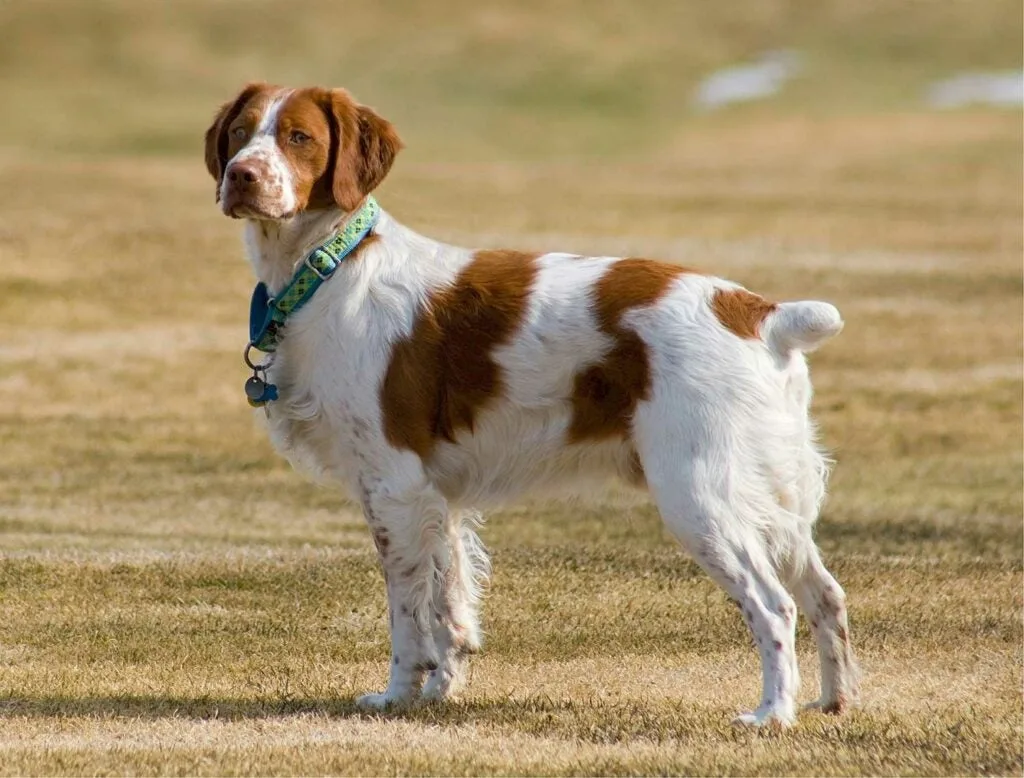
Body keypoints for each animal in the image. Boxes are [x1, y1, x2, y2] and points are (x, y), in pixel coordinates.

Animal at [201, 81, 856, 724]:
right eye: (240, 132)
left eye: (299, 137)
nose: (241, 175)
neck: (329, 269)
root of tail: (760, 313)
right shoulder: (438, 498)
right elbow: (449, 605)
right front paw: (439, 693)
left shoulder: (394, 486)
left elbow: (408, 614)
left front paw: (396, 697)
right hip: (774, 498)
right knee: (825, 594)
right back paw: (833, 702)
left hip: (699, 494)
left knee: (774, 605)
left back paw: (772, 713)